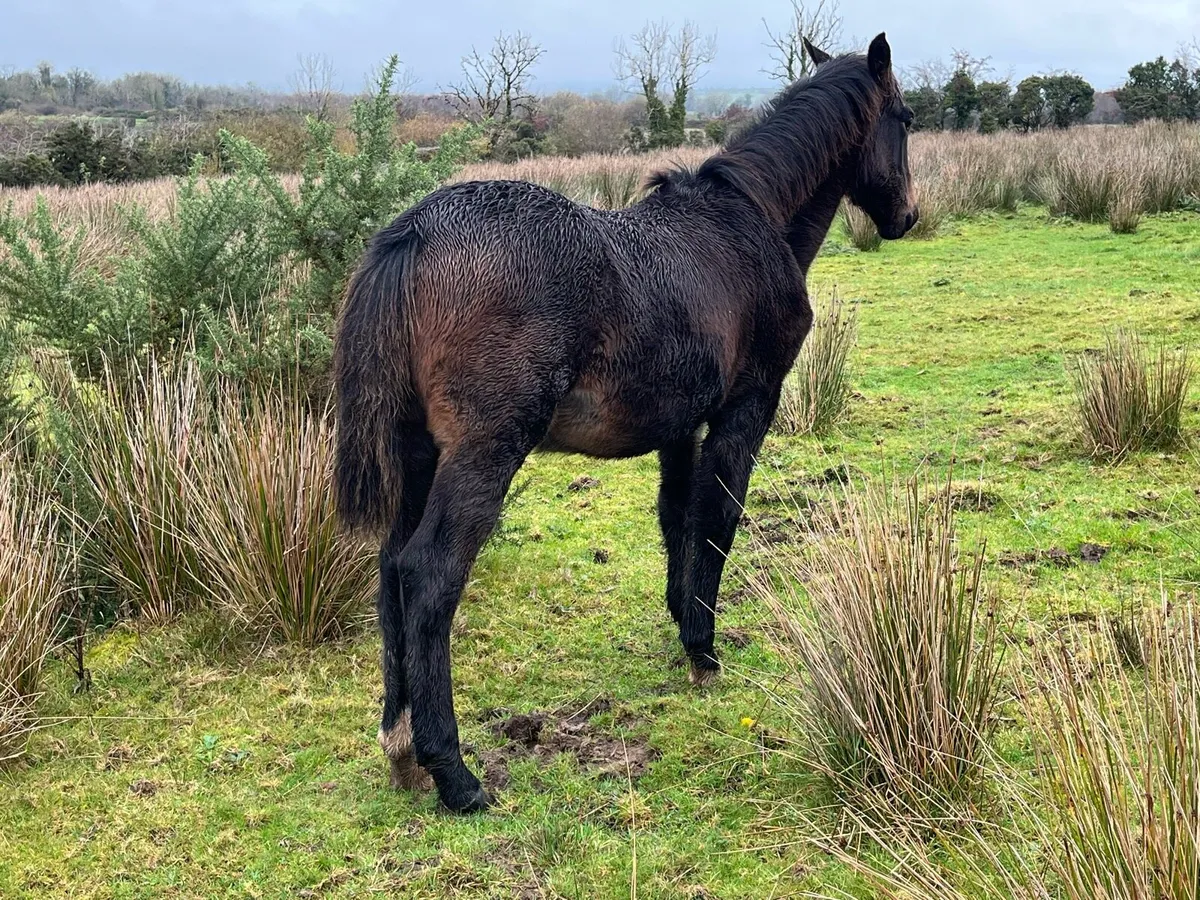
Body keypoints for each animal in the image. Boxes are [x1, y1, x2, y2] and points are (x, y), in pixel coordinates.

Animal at [333, 33, 918, 813]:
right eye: (905, 120)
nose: (906, 217)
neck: (750, 222)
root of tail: (415, 232)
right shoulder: (746, 408)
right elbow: (718, 517)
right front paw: (704, 649)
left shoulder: (679, 426)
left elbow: (677, 517)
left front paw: (682, 622)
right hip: (483, 452)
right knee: (428, 576)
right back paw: (455, 775)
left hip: (417, 455)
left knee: (390, 573)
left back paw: (400, 747)